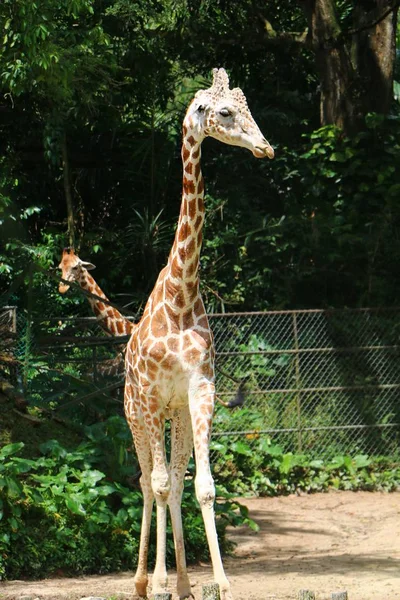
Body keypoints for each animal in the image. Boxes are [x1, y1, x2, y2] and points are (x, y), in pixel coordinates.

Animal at [124, 67, 276, 600]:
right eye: (224, 112)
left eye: (248, 104)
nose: (266, 147)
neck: (180, 291)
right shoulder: (151, 395)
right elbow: (159, 483)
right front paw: (158, 582)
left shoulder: (200, 389)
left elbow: (203, 486)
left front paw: (219, 583)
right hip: (136, 413)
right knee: (148, 480)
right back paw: (144, 580)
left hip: (177, 416)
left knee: (175, 476)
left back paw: (185, 582)